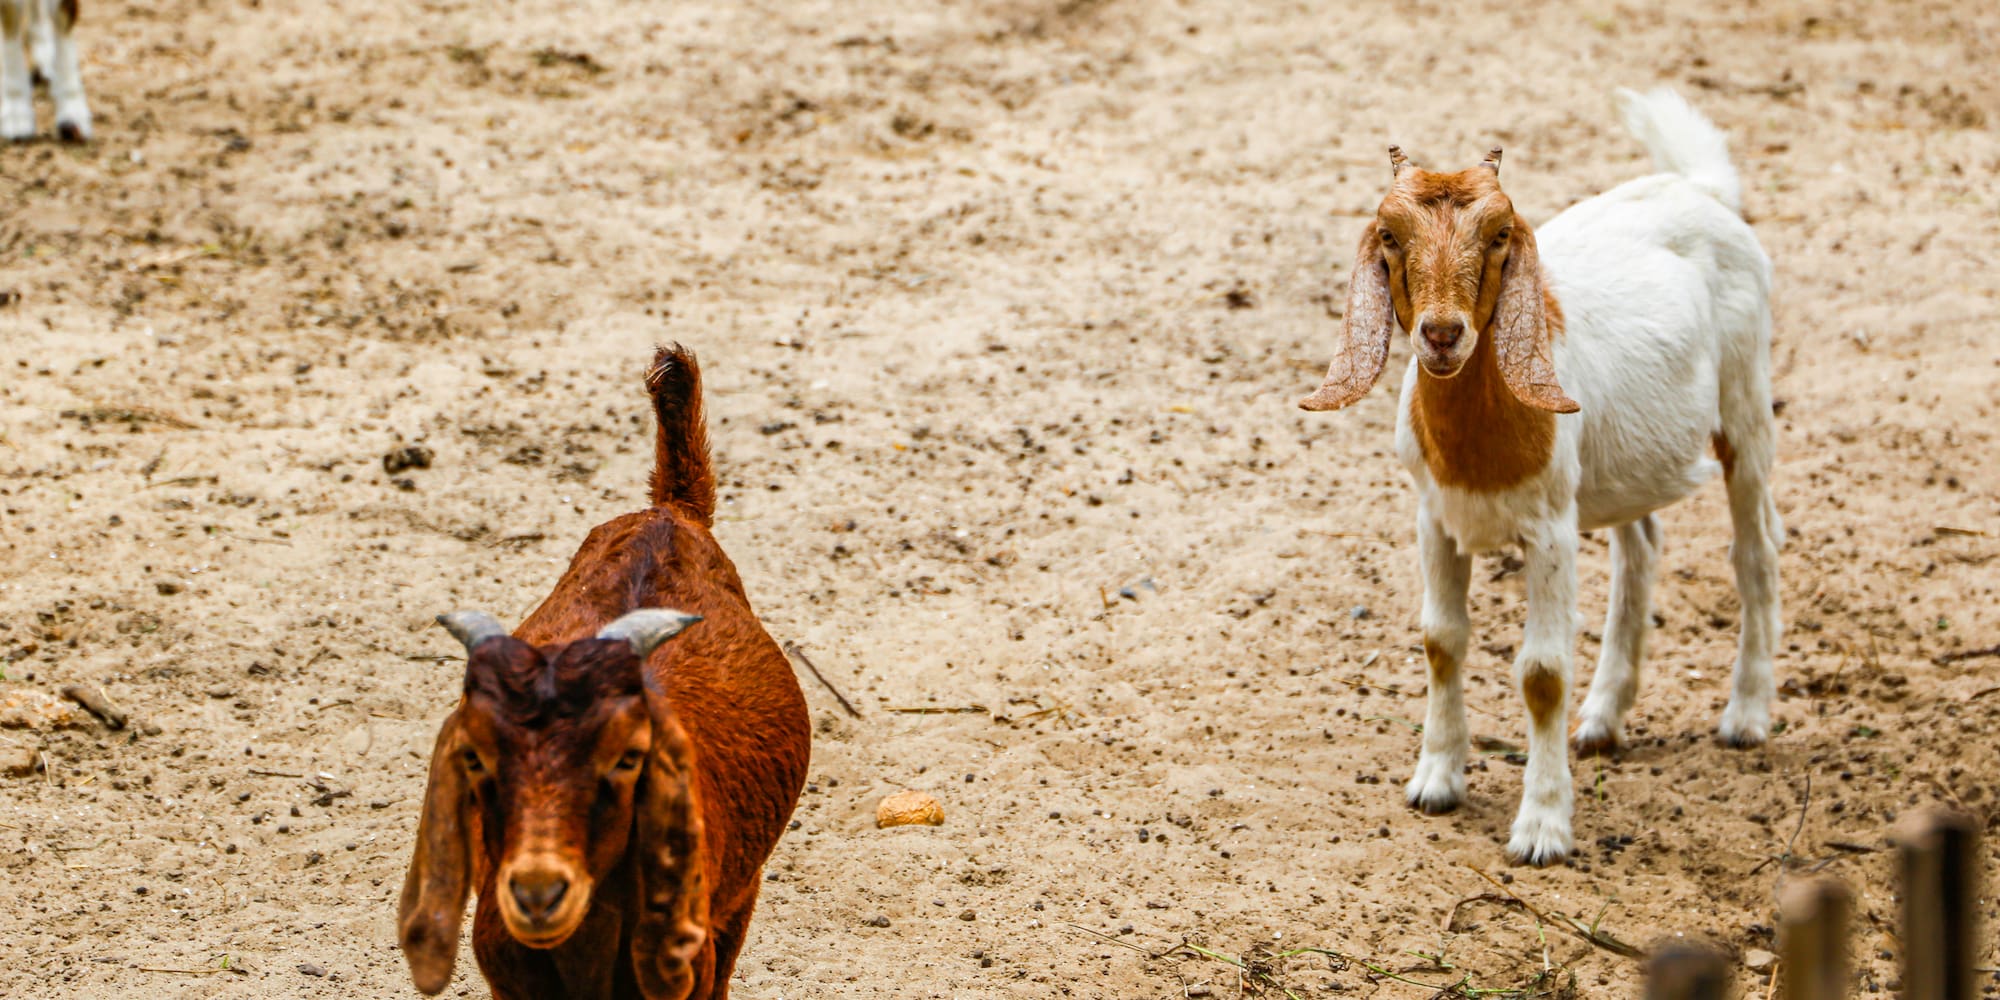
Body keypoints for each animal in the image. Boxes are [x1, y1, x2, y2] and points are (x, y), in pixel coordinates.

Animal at [1299, 88, 1780, 866]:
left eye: (1500, 235)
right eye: (1391, 237)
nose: (1442, 334)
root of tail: (1701, 190)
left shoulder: (1550, 528)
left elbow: (1543, 673)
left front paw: (1542, 828)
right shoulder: (1433, 516)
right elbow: (1441, 640)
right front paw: (1436, 780)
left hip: (1746, 399)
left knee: (1756, 548)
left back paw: (1746, 716)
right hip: (1621, 463)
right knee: (1642, 546)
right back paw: (1604, 719)